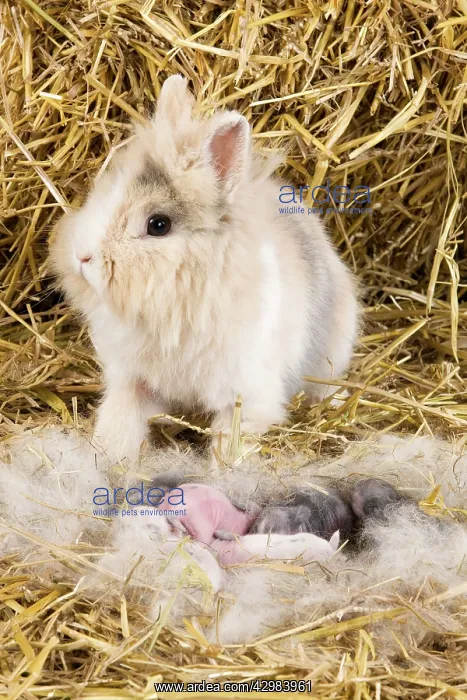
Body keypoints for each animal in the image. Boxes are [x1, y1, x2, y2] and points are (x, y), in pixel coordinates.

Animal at [49, 75, 359, 462]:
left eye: (158, 225)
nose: (82, 257)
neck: (175, 302)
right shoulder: (132, 380)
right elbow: (120, 420)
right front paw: (110, 461)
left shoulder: (244, 397)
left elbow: (230, 442)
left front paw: (224, 470)